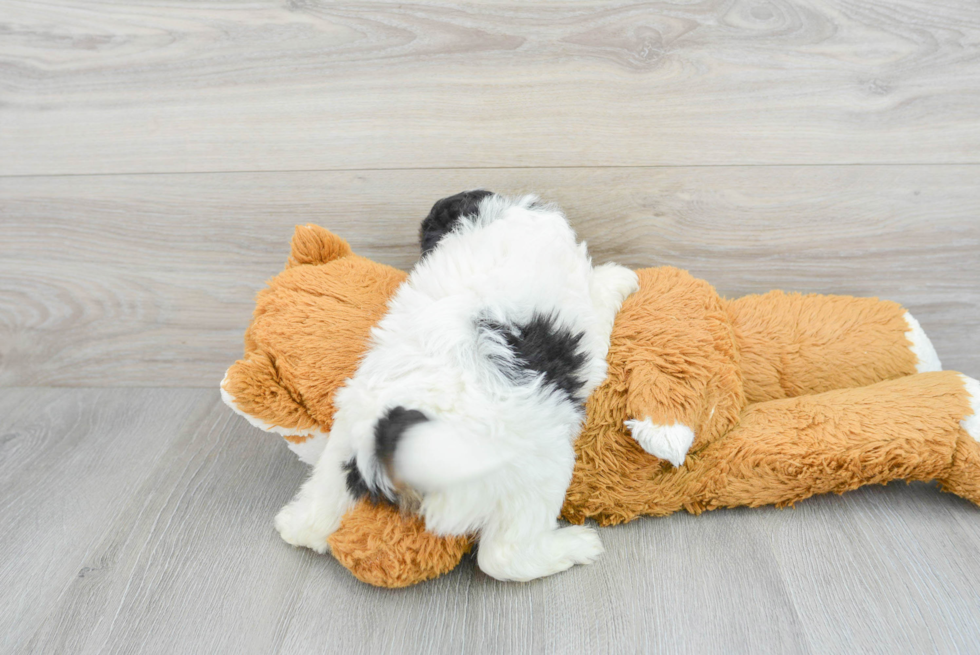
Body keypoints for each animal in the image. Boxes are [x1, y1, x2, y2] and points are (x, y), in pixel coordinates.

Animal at [272, 192, 640, 580]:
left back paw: (296, 524)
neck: (494, 223)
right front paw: (619, 276)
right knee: (503, 555)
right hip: (536, 473)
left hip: (346, 435)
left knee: (323, 498)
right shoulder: (586, 325)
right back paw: (574, 546)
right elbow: (599, 298)